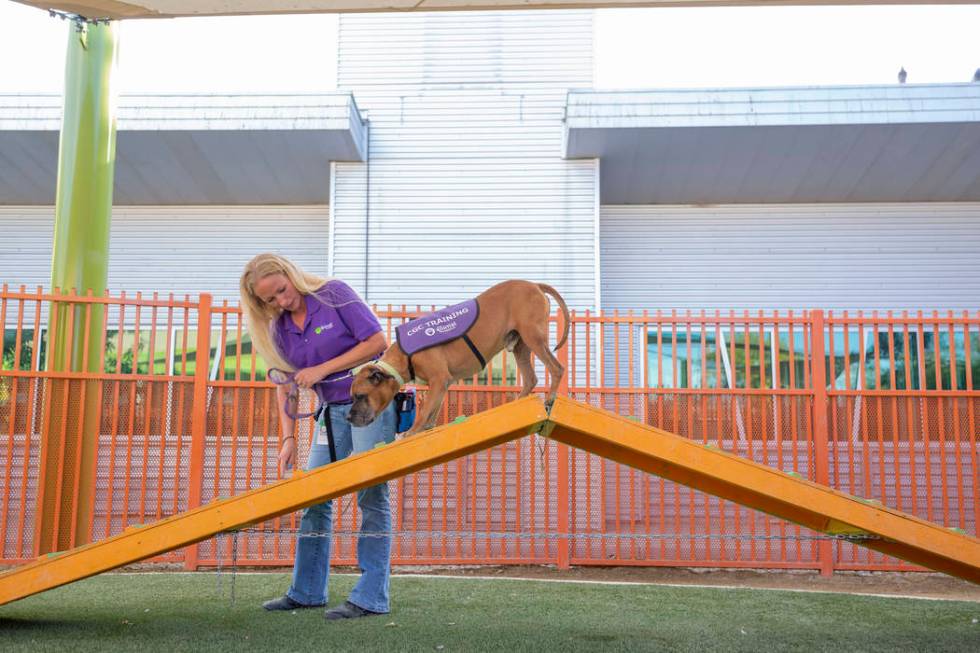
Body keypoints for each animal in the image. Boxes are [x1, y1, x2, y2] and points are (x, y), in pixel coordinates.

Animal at [348, 278, 572, 436]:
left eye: (360, 396)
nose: (349, 418)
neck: (405, 356)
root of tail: (534, 284)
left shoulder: (439, 380)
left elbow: (424, 411)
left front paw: (412, 431)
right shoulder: (442, 385)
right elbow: (433, 410)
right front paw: (427, 428)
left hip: (533, 337)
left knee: (556, 368)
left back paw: (550, 398)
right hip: (521, 346)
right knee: (531, 378)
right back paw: (518, 402)